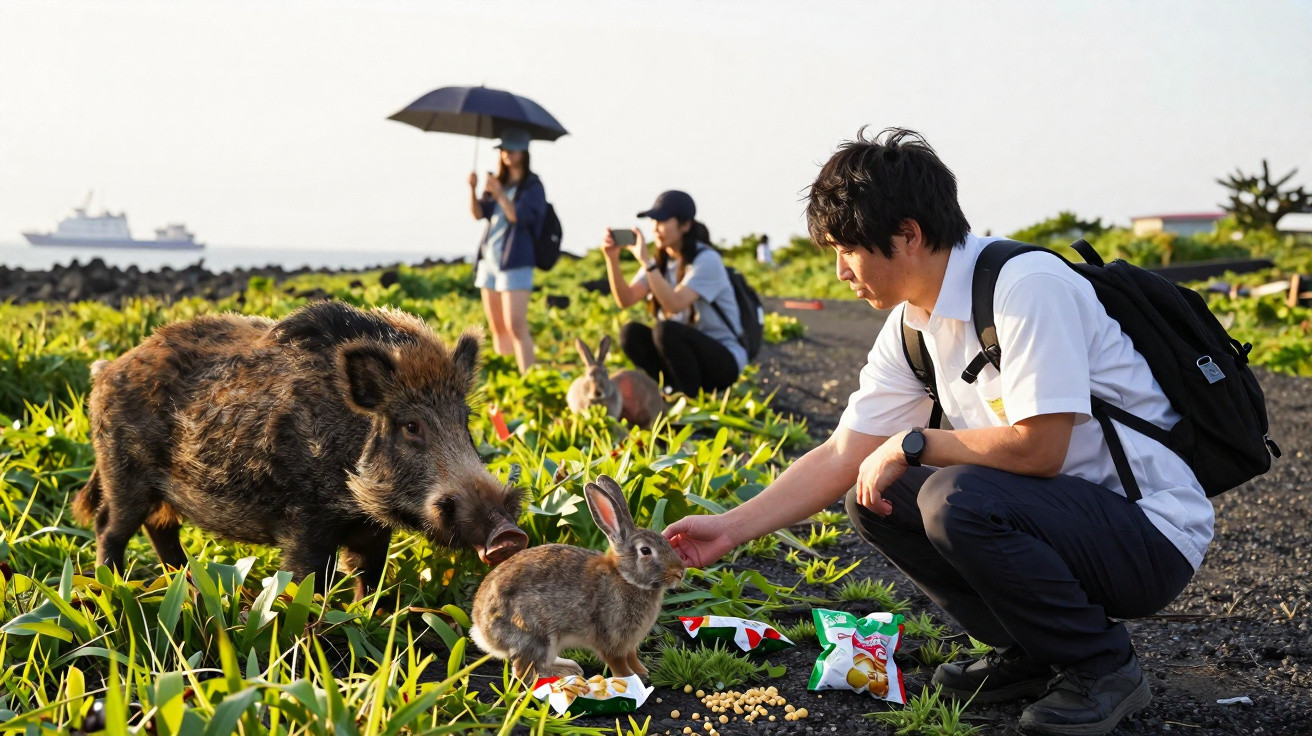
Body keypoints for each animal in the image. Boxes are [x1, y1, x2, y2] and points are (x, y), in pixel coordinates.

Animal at [469, 474, 686, 680]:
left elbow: (632, 657)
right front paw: (629, 679)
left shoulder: (630, 644)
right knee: (524, 670)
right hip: (535, 635)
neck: (626, 578)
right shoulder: (611, 640)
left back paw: (570, 670)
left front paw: (642, 672)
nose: (680, 572)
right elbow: (618, 663)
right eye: (645, 551)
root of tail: (481, 627)